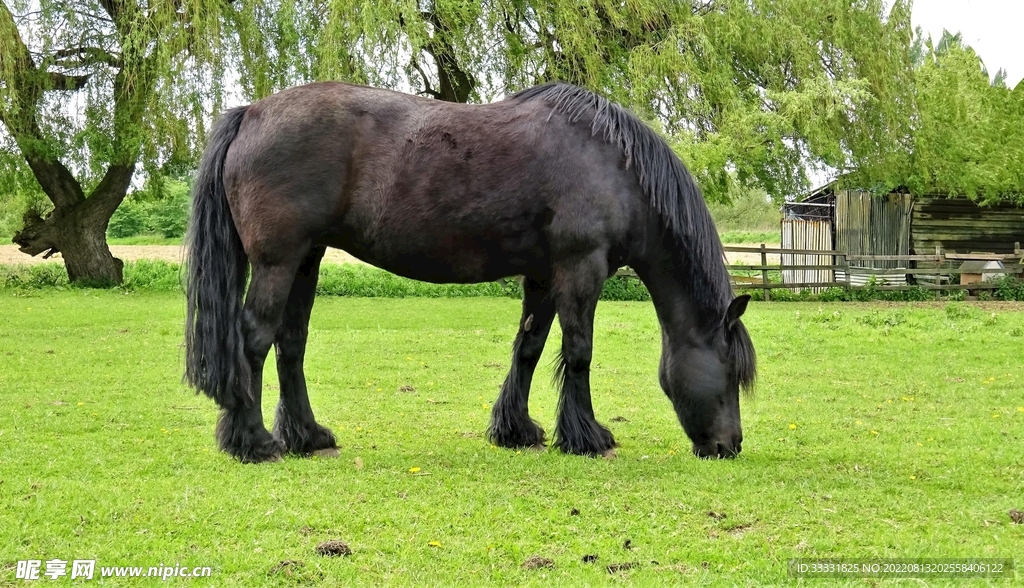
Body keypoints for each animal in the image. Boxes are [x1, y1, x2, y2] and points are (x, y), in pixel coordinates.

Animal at [184, 81, 756, 464]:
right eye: (730, 371)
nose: (730, 445)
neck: (614, 168)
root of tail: (251, 113)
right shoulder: (581, 270)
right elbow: (579, 352)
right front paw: (586, 436)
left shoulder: (543, 277)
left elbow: (528, 348)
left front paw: (516, 429)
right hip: (278, 262)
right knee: (254, 339)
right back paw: (253, 441)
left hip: (308, 259)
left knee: (291, 343)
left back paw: (307, 436)